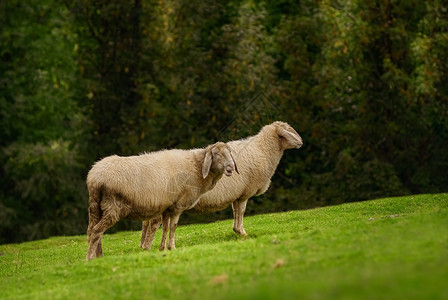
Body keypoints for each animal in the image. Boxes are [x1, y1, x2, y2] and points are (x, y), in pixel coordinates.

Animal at [85, 141, 238, 260]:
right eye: (216, 154)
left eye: (230, 153)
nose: (230, 167)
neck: (196, 168)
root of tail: (95, 178)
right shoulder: (178, 205)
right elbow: (173, 227)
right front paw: (172, 247)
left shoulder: (167, 208)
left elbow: (165, 227)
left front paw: (162, 248)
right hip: (113, 206)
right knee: (97, 231)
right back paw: (90, 258)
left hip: (96, 206)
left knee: (93, 230)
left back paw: (99, 257)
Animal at [139, 120, 300, 250]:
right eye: (288, 131)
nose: (301, 142)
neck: (262, 149)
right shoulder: (245, 194)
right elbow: (241, 212)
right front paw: (243, 232)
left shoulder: (237, 195)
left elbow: (236, 212)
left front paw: (237, 231)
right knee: (153, 223)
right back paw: (148, 247)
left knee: (146, 223)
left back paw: (142, 246)